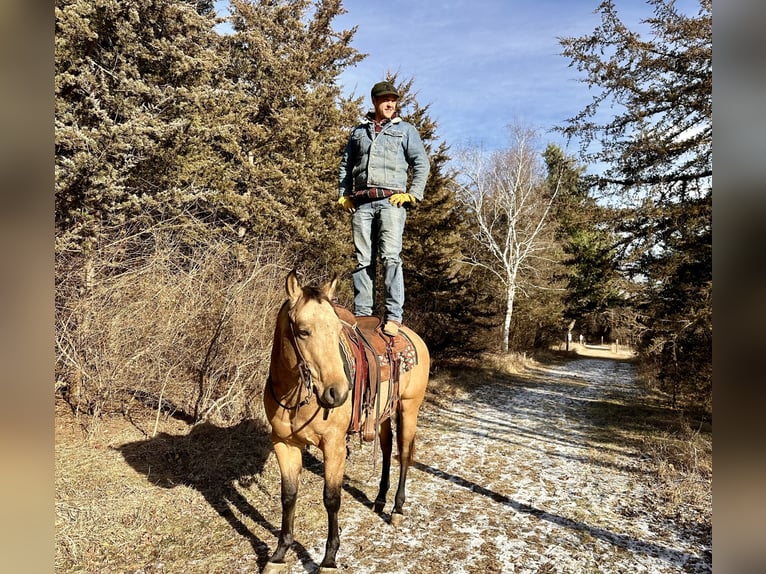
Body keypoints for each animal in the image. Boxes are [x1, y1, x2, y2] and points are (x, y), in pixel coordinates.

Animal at [262, 272, 432, 574]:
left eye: (335, 331)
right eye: (303, 331)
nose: (337, 393)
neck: (295, 395)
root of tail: (414, 336)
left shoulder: (334, 446)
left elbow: (331, 498)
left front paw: (329, 559)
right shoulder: (284, 444)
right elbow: (288, 496)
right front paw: (280, 553)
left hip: (409, 408)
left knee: (404, 455)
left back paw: (397, 509)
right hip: (381, 415)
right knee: (387, 450)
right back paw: (380, 499)